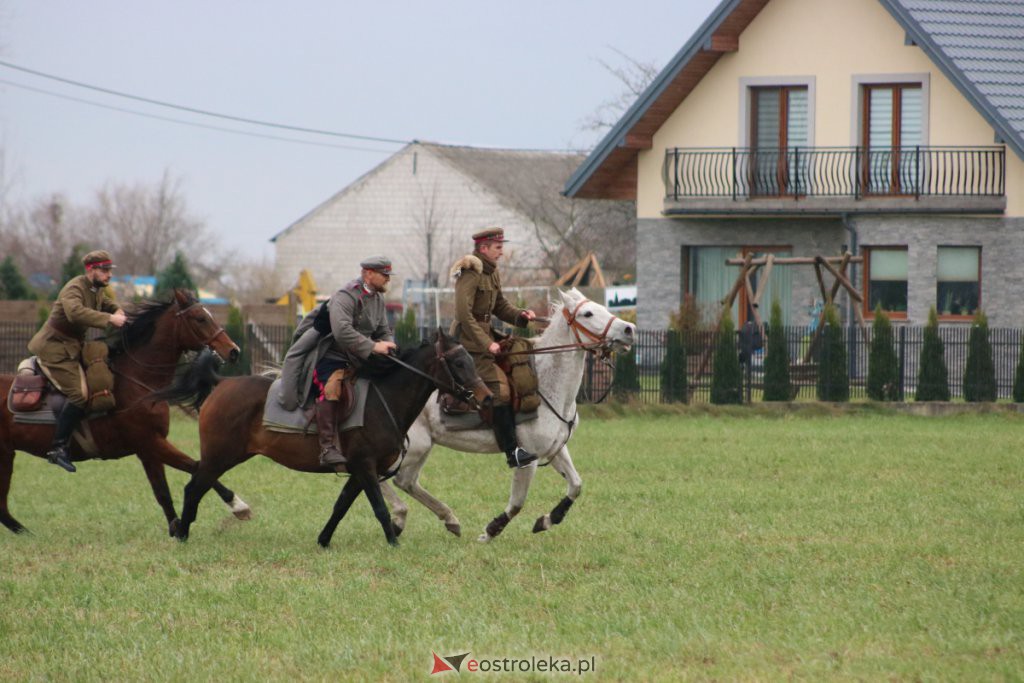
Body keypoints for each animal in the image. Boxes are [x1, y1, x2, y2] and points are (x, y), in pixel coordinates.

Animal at [0, 286, 246, 536]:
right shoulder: (150, 442)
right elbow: (196, 467)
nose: (233, 351)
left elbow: (163, 493)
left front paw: (176, 528)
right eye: (200, 318)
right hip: (5, 456)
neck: (136, 381)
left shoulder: (148, 449)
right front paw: (237, 505)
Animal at [161, 327, 489, 548]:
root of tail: (221, 384)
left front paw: (324, 539)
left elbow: (341, 505)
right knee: (194, 488)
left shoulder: (359, 471)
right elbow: (380, 508)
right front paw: (394, 542)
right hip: (220, 457)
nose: (486, 397)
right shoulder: (366, 467)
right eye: (459, 363)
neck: (382, 400)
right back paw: (183, 533)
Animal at [382, 290, 634, 544]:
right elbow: (517, 502)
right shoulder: (528, 458)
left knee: (404, 481)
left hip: (422, 448)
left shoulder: (556, 449)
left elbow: (576, 485)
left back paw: (448, 519)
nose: (629, 329)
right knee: (384, 476)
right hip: (412, 448)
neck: (546, 382)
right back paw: (400, 517)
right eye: (588, 313)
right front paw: (491, 530)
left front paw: (547, 520)